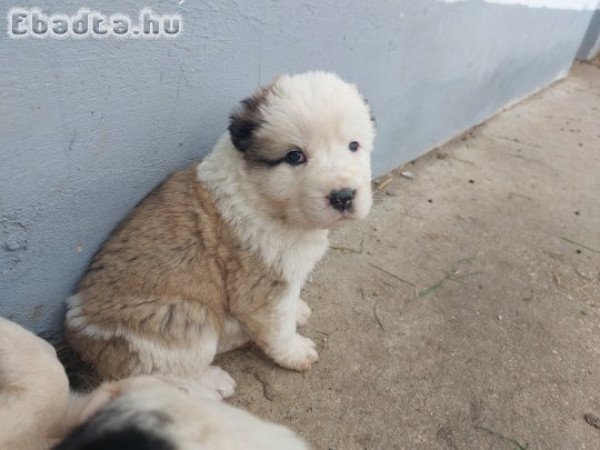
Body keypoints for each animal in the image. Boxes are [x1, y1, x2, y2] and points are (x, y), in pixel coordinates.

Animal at [65, 71, 376, 398]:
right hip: (181, 318)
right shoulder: (260, 288)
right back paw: (213, 382)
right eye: (294, 156)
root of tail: (79, 333)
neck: (262, 198)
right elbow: (279, 329)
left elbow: (290, 303)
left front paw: (297, 310)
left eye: (353, 146)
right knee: (157, 376)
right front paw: (295, 352)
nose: (343, 196)